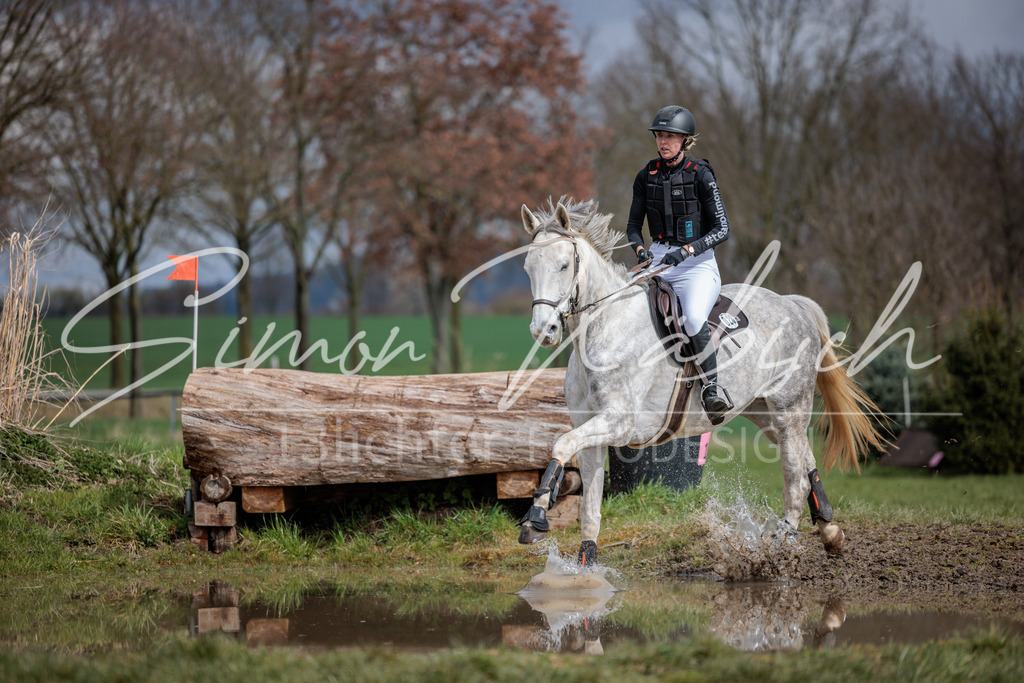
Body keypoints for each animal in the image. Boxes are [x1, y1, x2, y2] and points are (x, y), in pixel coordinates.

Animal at [517, 198, 886, 568]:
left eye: (564, 265)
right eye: (527, 268)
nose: (543, 331)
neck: (607, 327)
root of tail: (793, 304)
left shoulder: (621, 424)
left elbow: (561, 444)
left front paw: (535, 519)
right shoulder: (591, 426)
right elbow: (588, 501)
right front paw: (584, 559)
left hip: (789, 408)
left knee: (795, 481)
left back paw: (781, 545)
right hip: (764, 414)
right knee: (807, 463)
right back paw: (830, 532)